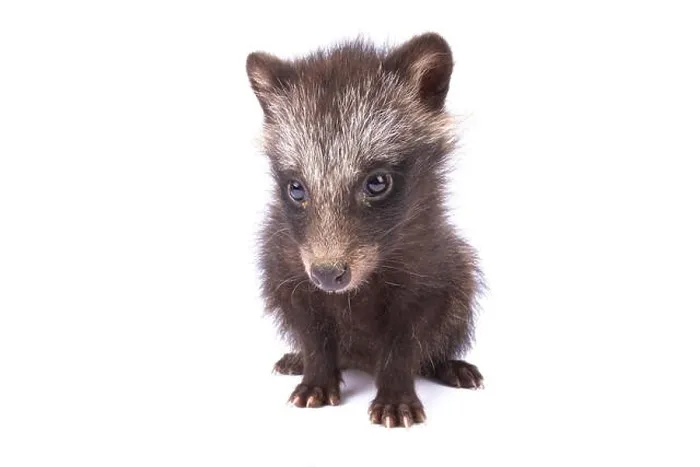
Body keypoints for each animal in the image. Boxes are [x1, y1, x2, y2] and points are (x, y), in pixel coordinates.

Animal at [246, 32, 484, 428]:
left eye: (377, 183)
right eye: (296, 188)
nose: (327, 275)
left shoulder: (429, 265)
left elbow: (407, 338)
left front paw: (396, 391)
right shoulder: (284, 262)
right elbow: (309, 327)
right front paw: (316, 373)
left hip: (459, 268)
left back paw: (446, 364)